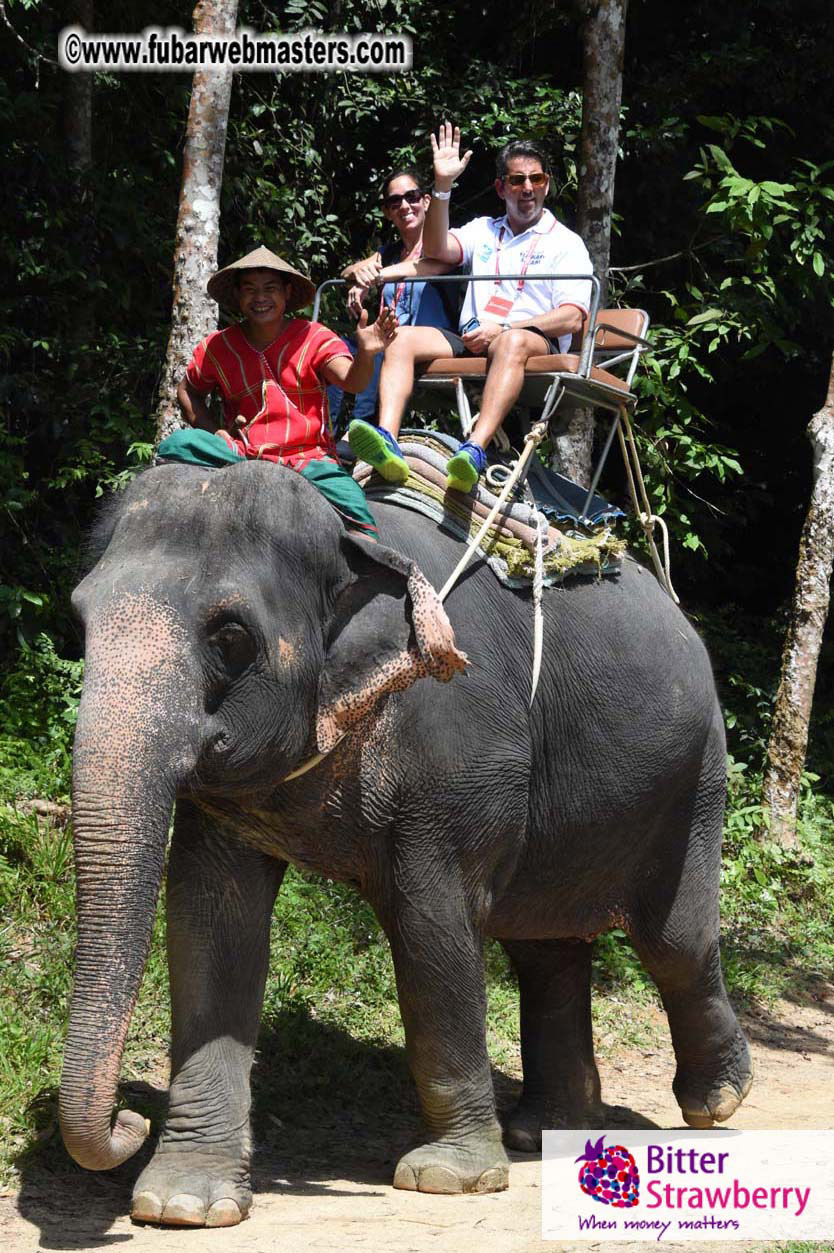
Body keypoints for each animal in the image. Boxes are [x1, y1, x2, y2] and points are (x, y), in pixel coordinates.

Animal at [59, 458, 752, 1228]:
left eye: (231, 637)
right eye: (79, 620)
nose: (127, 1119)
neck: (348, 535)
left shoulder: (458, 748)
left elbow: (431, 923)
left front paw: (447, 1177)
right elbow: (212, 923)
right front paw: (182, 1202)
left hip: (695, 776)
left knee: (673, 941)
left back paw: (716, 1100)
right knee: (544, 948)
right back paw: (545, 1131)